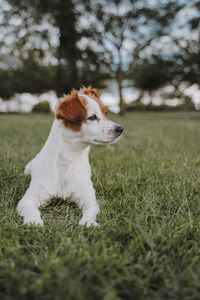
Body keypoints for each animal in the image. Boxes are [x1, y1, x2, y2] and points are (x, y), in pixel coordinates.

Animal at [17, 86, 123, 227]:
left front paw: (88, 222)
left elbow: (90, 210)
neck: (68, 161)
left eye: (106, 113)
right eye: (92, 117)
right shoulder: (28, 199)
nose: (120, 129)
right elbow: (31, 209)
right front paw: (33, 221)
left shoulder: (88, 197)